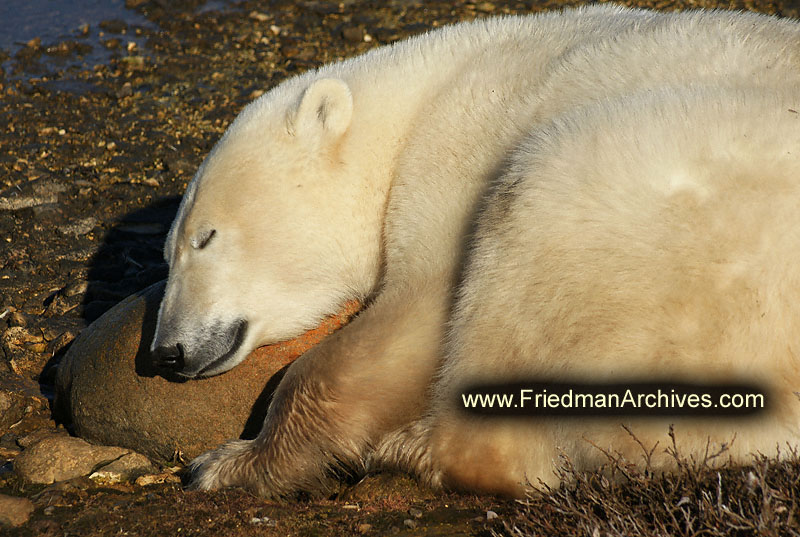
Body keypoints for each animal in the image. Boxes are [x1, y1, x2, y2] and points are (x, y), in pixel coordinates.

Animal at [148, 5, 800, 498]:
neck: (415, 106)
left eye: (205, 237)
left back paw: (409, 449)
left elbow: (414, 316)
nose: (166, 352)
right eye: (167, 254)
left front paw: (231, 462)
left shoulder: (456, 156)